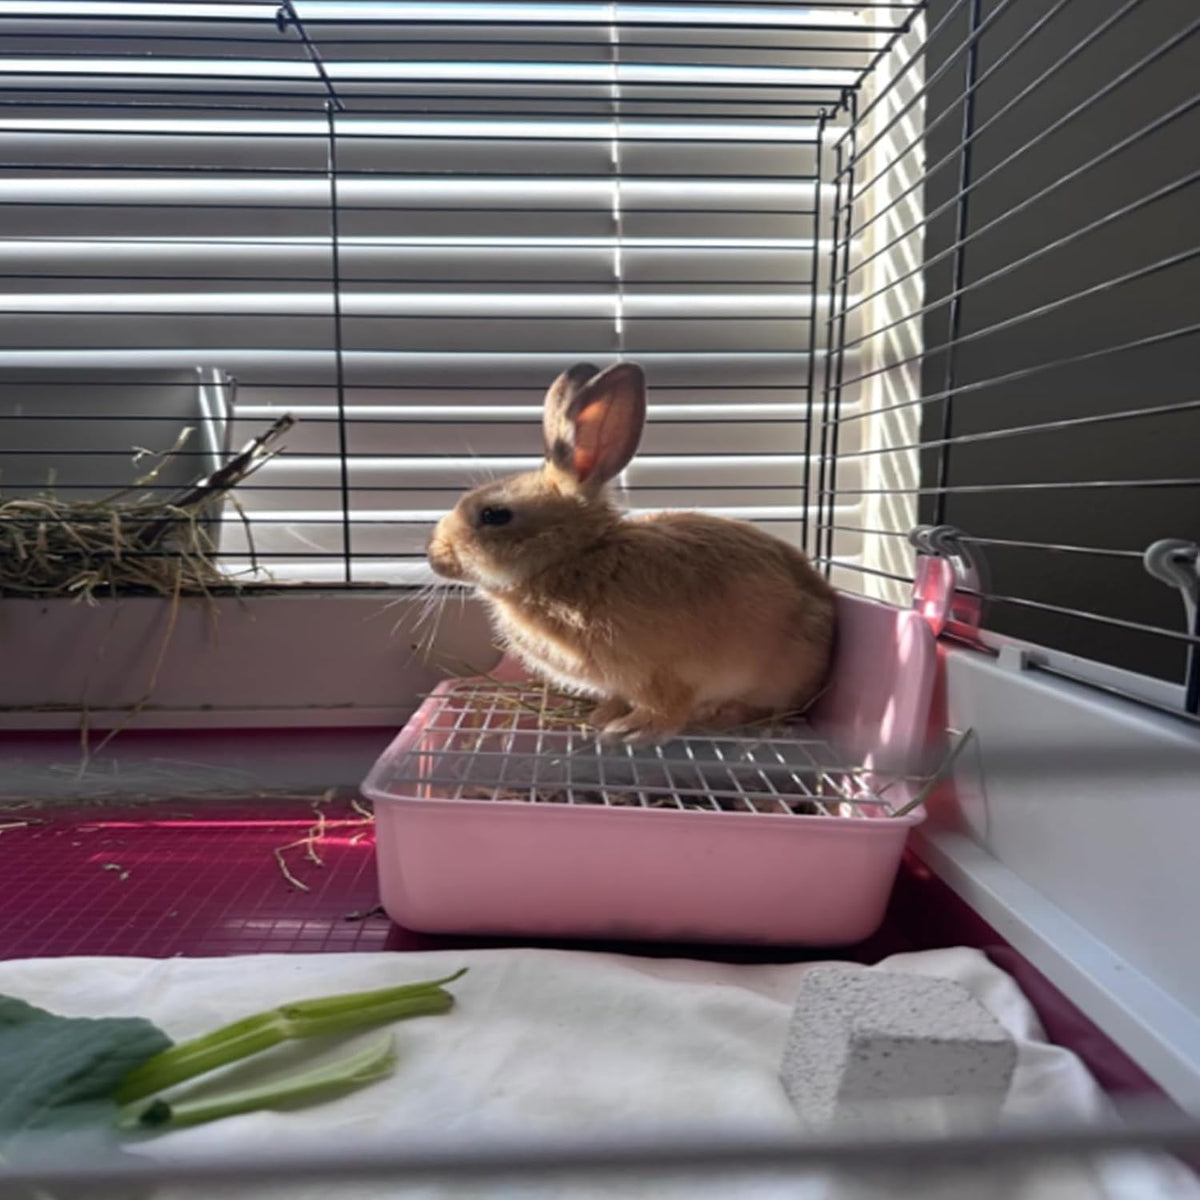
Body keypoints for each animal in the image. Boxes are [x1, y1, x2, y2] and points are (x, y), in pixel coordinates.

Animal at [426, 361, 836, 744]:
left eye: (494, 515)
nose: (433, 555)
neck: (576, 556)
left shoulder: (664, 673)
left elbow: (664, 709)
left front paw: (629, 733)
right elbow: (619, 698)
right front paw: (602, 717)